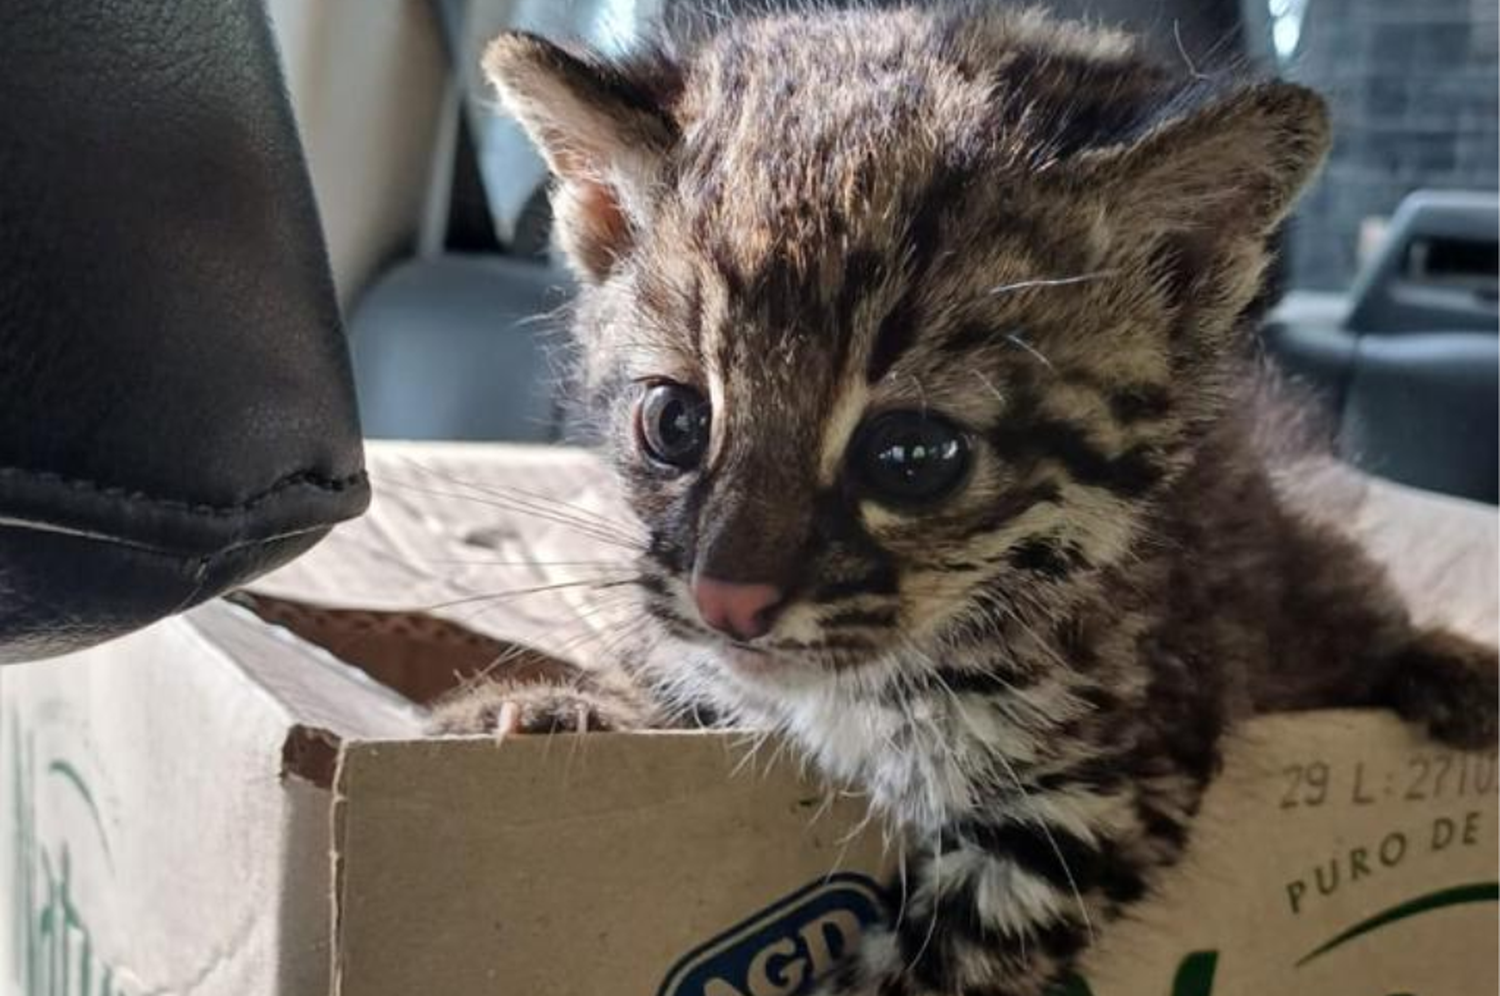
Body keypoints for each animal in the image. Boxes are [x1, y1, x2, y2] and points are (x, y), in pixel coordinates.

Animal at [435, 7, 1500, 996]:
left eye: (912, 456)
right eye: (675, 422)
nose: (727, 601)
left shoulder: (1093, 800)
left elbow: (923, 964)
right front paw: (558, 708)